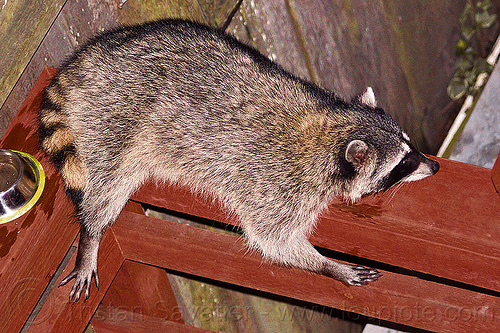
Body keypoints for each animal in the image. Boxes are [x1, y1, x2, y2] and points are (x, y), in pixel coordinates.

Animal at [38, 19, 438, 302]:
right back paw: (91, 233)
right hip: (112, 119)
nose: (433, 166)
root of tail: (88, 59)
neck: (330, 129)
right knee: (107, 184)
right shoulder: (277, 187)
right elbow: (273, 239)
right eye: (402, 164)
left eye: (410, 145)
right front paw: (328, 265)